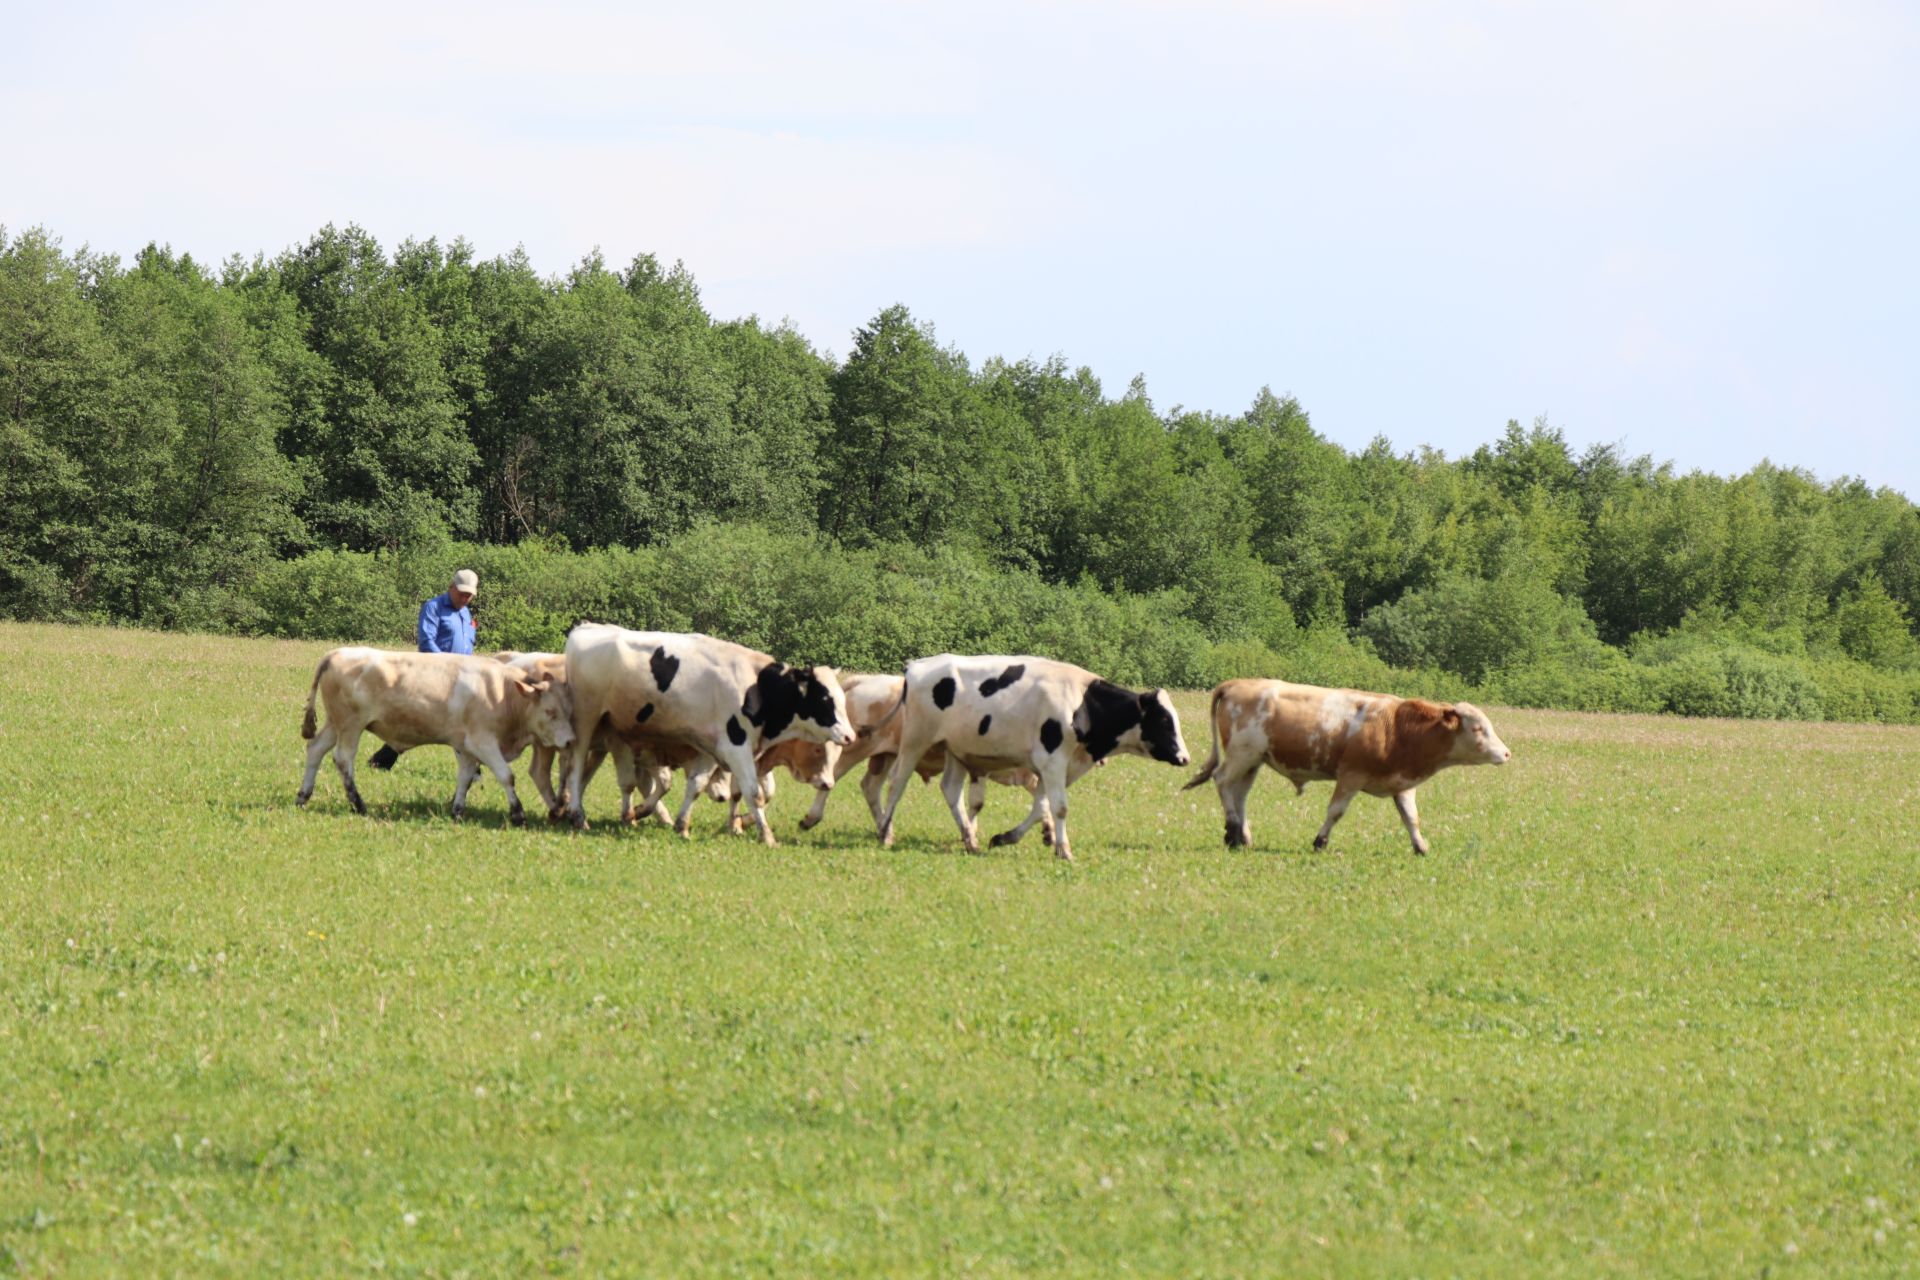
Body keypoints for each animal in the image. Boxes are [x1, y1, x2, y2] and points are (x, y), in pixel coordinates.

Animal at [295, 644, 572, 825]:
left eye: (567, 708)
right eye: (550, 711)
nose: (570, 741)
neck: (502, 692)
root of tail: (335, 653)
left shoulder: (465, 746)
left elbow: (465, 777)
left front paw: (458, 811)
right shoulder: (482, 742)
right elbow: (507, 776)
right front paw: (517, 814)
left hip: (335, 723)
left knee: (316, 749)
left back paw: (303, 796)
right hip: (351, 725)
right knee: (343, 759)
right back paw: (358, 804)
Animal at [560, 625, 852, 844]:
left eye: (841, 697)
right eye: (825, 699)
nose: (850, 736)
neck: (757, 687)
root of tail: (587, 628)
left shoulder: (713, 747)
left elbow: (696, 785)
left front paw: (681, 825)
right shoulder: (737, 746)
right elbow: (753, 792)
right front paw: (767, 836)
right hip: (586, 718)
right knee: (576, 766)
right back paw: (577, 814)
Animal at [875, 660, 1182, 859]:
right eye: (1164, 720)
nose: (1184, 757)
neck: (1081, 702)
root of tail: (917, 665)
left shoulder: (1050, 768)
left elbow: (1041, 807)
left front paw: (1005, 838)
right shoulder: (1053, 762)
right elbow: (1058, 808)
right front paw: (1064, 850)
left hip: (956, 750)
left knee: (951, 790)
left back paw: (970, 840)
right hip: (915, 741)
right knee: (897, 783)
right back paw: (885, 834)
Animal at [1182, 675, 1512, 855]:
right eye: (1478, 728)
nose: (1507, 753)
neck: (1398, 730)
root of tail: (1237, 683)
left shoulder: (1403, 785)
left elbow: (1411, 818)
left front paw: (1420, 846)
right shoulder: (1350, 776)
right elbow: (1336, 812)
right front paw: (1320, 841)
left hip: (1253, 760)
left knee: (1239, 793)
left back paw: (1243, 835)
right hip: (1242, 754)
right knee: (1223, 782)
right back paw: (1231, 831)